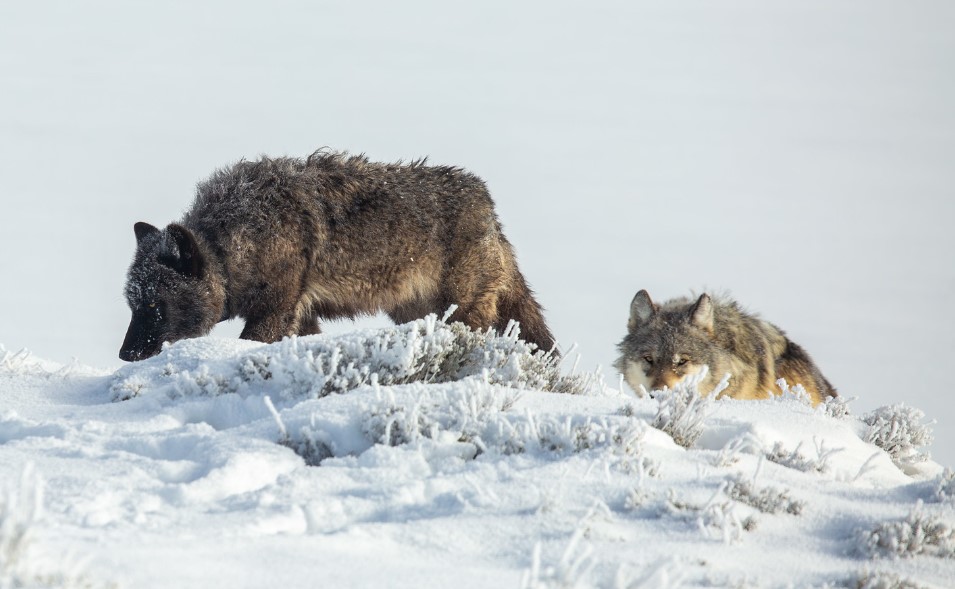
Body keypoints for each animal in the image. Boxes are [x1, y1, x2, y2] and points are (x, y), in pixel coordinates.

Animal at [119, 150, 556, 361]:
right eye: (133, 305)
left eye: (156, 305)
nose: (125, 355)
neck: (234, 244)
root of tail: (489, 207)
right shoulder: (300, 316)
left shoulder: (273, 312)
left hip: (460, 314)